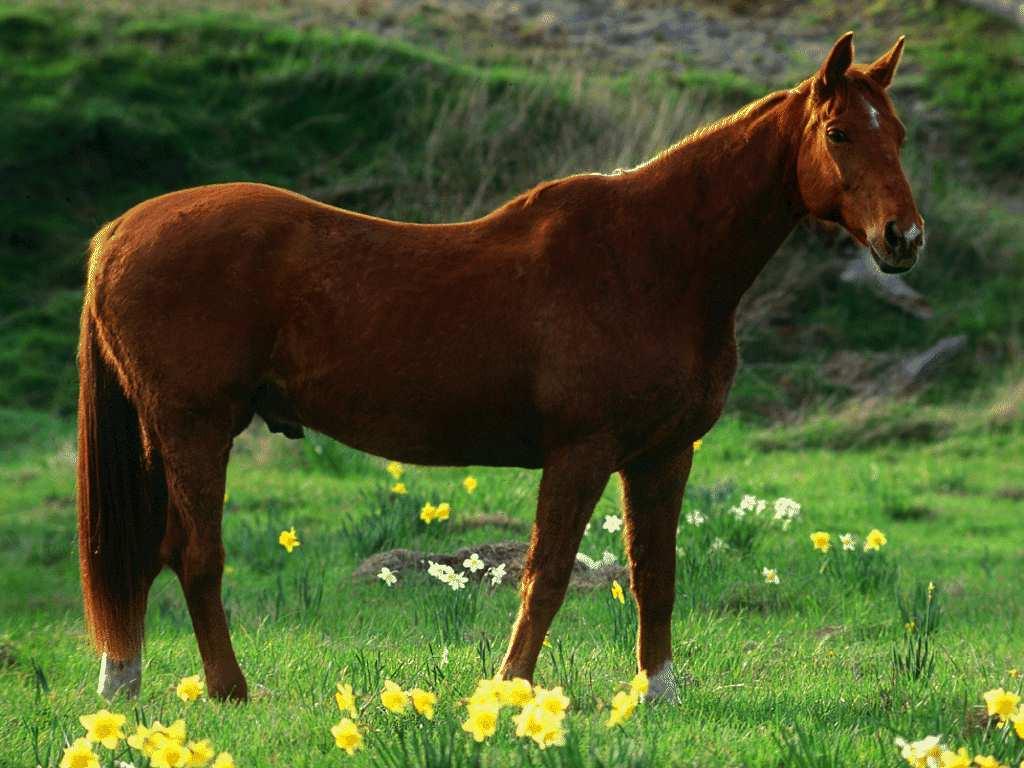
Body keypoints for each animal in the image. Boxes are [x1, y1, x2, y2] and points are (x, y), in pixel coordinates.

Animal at [75, 31, 925, 704]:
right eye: (839, 133)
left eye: (899, 134)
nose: (904, 238)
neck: (650, 260)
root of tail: (117, 233)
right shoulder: (580, 452)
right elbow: (546, 575)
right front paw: (510, 688)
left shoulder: (662, 454)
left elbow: (655, 573)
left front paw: (658, 693)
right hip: (196, 429)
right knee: (195, 556)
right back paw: (227, 689)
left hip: (168, 435)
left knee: (147, 554)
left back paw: (127, 682)